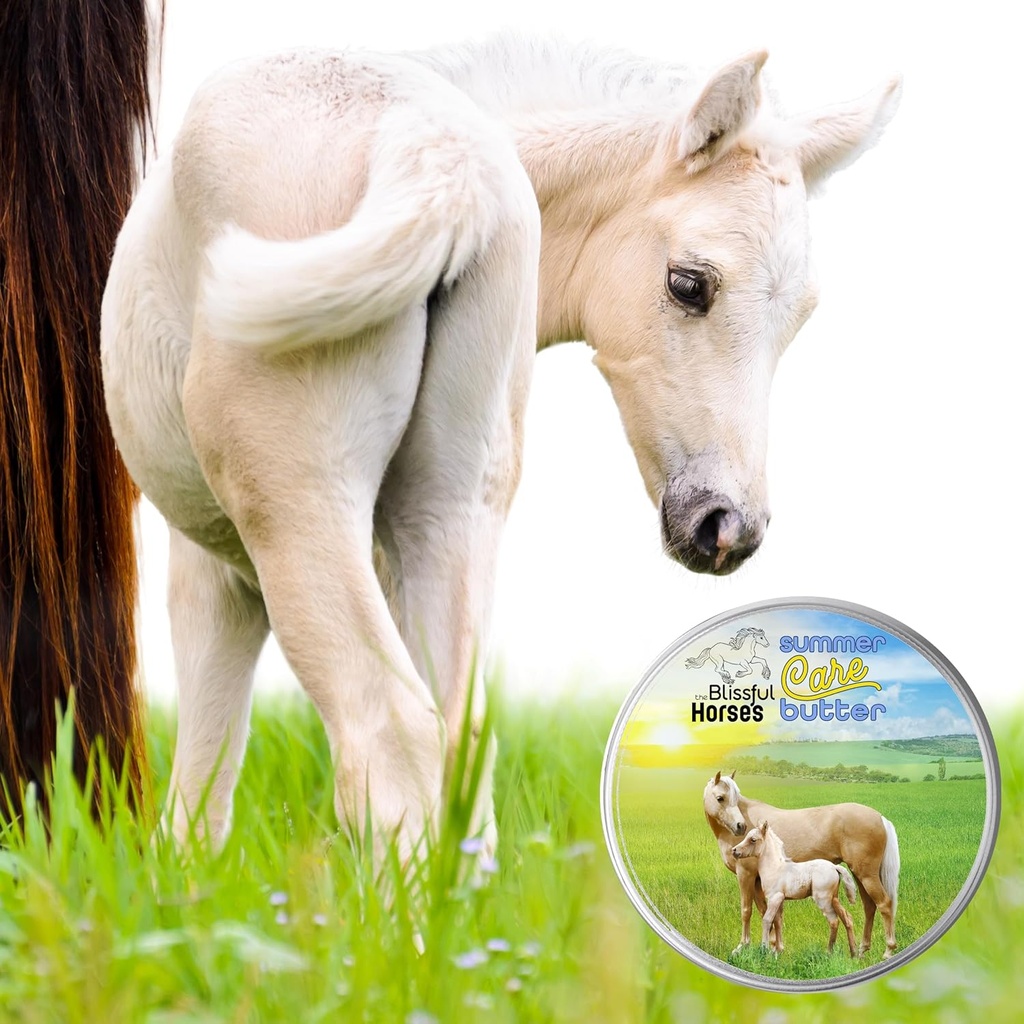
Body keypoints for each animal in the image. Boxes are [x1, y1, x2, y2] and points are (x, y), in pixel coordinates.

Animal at [100, 35, 901, 861]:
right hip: (447, 509)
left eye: (797, 317)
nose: (728, 527)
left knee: (392, 731)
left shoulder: (219, 572)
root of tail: (437, 150)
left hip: (298, 507)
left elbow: (203, 774)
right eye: (688, 284)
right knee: (459, 738)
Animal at [732, 820, 858, 957]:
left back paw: (829, 952)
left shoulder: (774, 898)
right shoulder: (780, 900)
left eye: (753, 839)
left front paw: (764, 949)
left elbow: (767, 920)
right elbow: (778, 921)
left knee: (834, 921)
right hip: (834, 898)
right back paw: (854, 953)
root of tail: (834, 867)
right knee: (847, 917)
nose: (734, 850)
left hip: (823, 900)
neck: (775, 868)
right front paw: (778, 951)